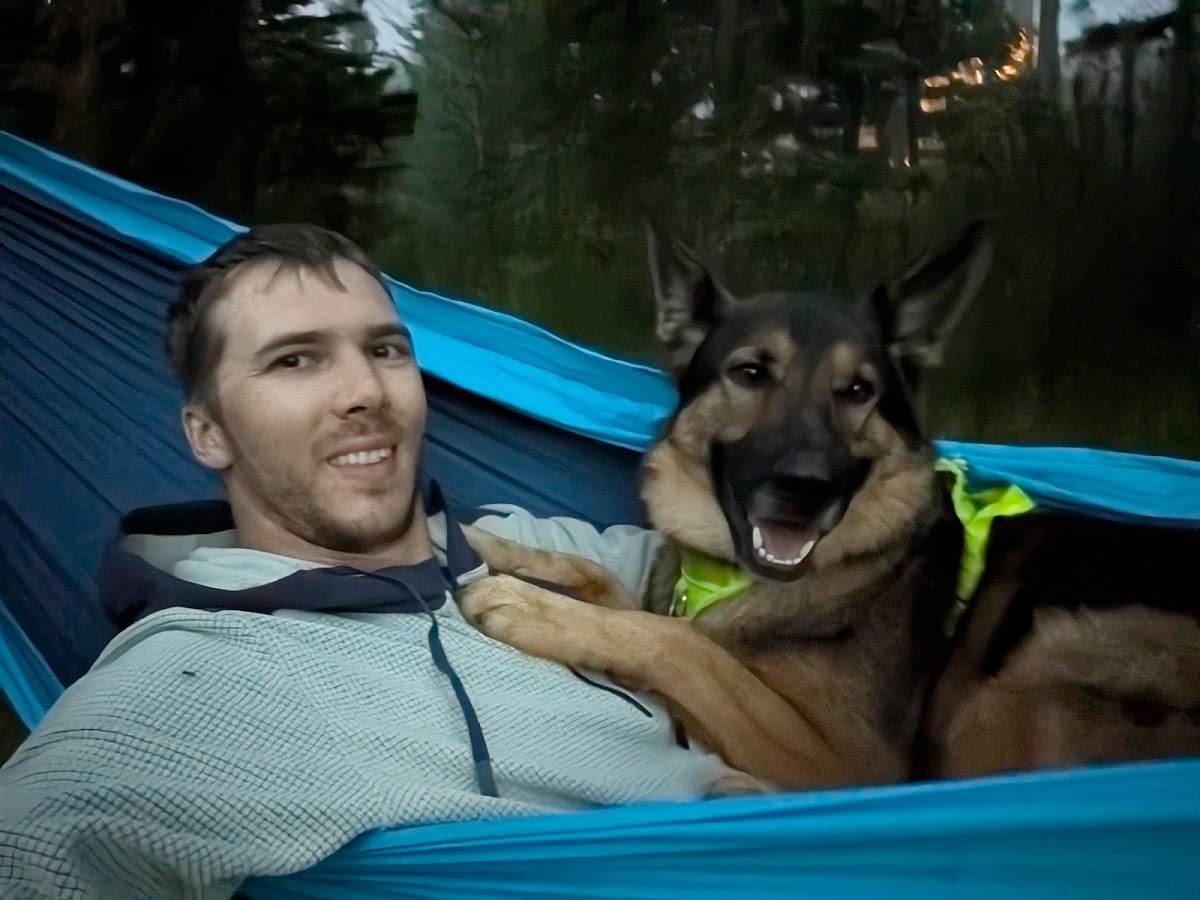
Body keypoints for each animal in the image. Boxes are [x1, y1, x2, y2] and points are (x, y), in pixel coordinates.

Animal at [460, 221, 1200, 790]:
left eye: (858, 391)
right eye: (749, 374)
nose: (808, 487)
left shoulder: (847, 757)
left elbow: (680, 645)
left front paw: (531, 606)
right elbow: (611, 588)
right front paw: (493, 547)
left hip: (1028, 672)